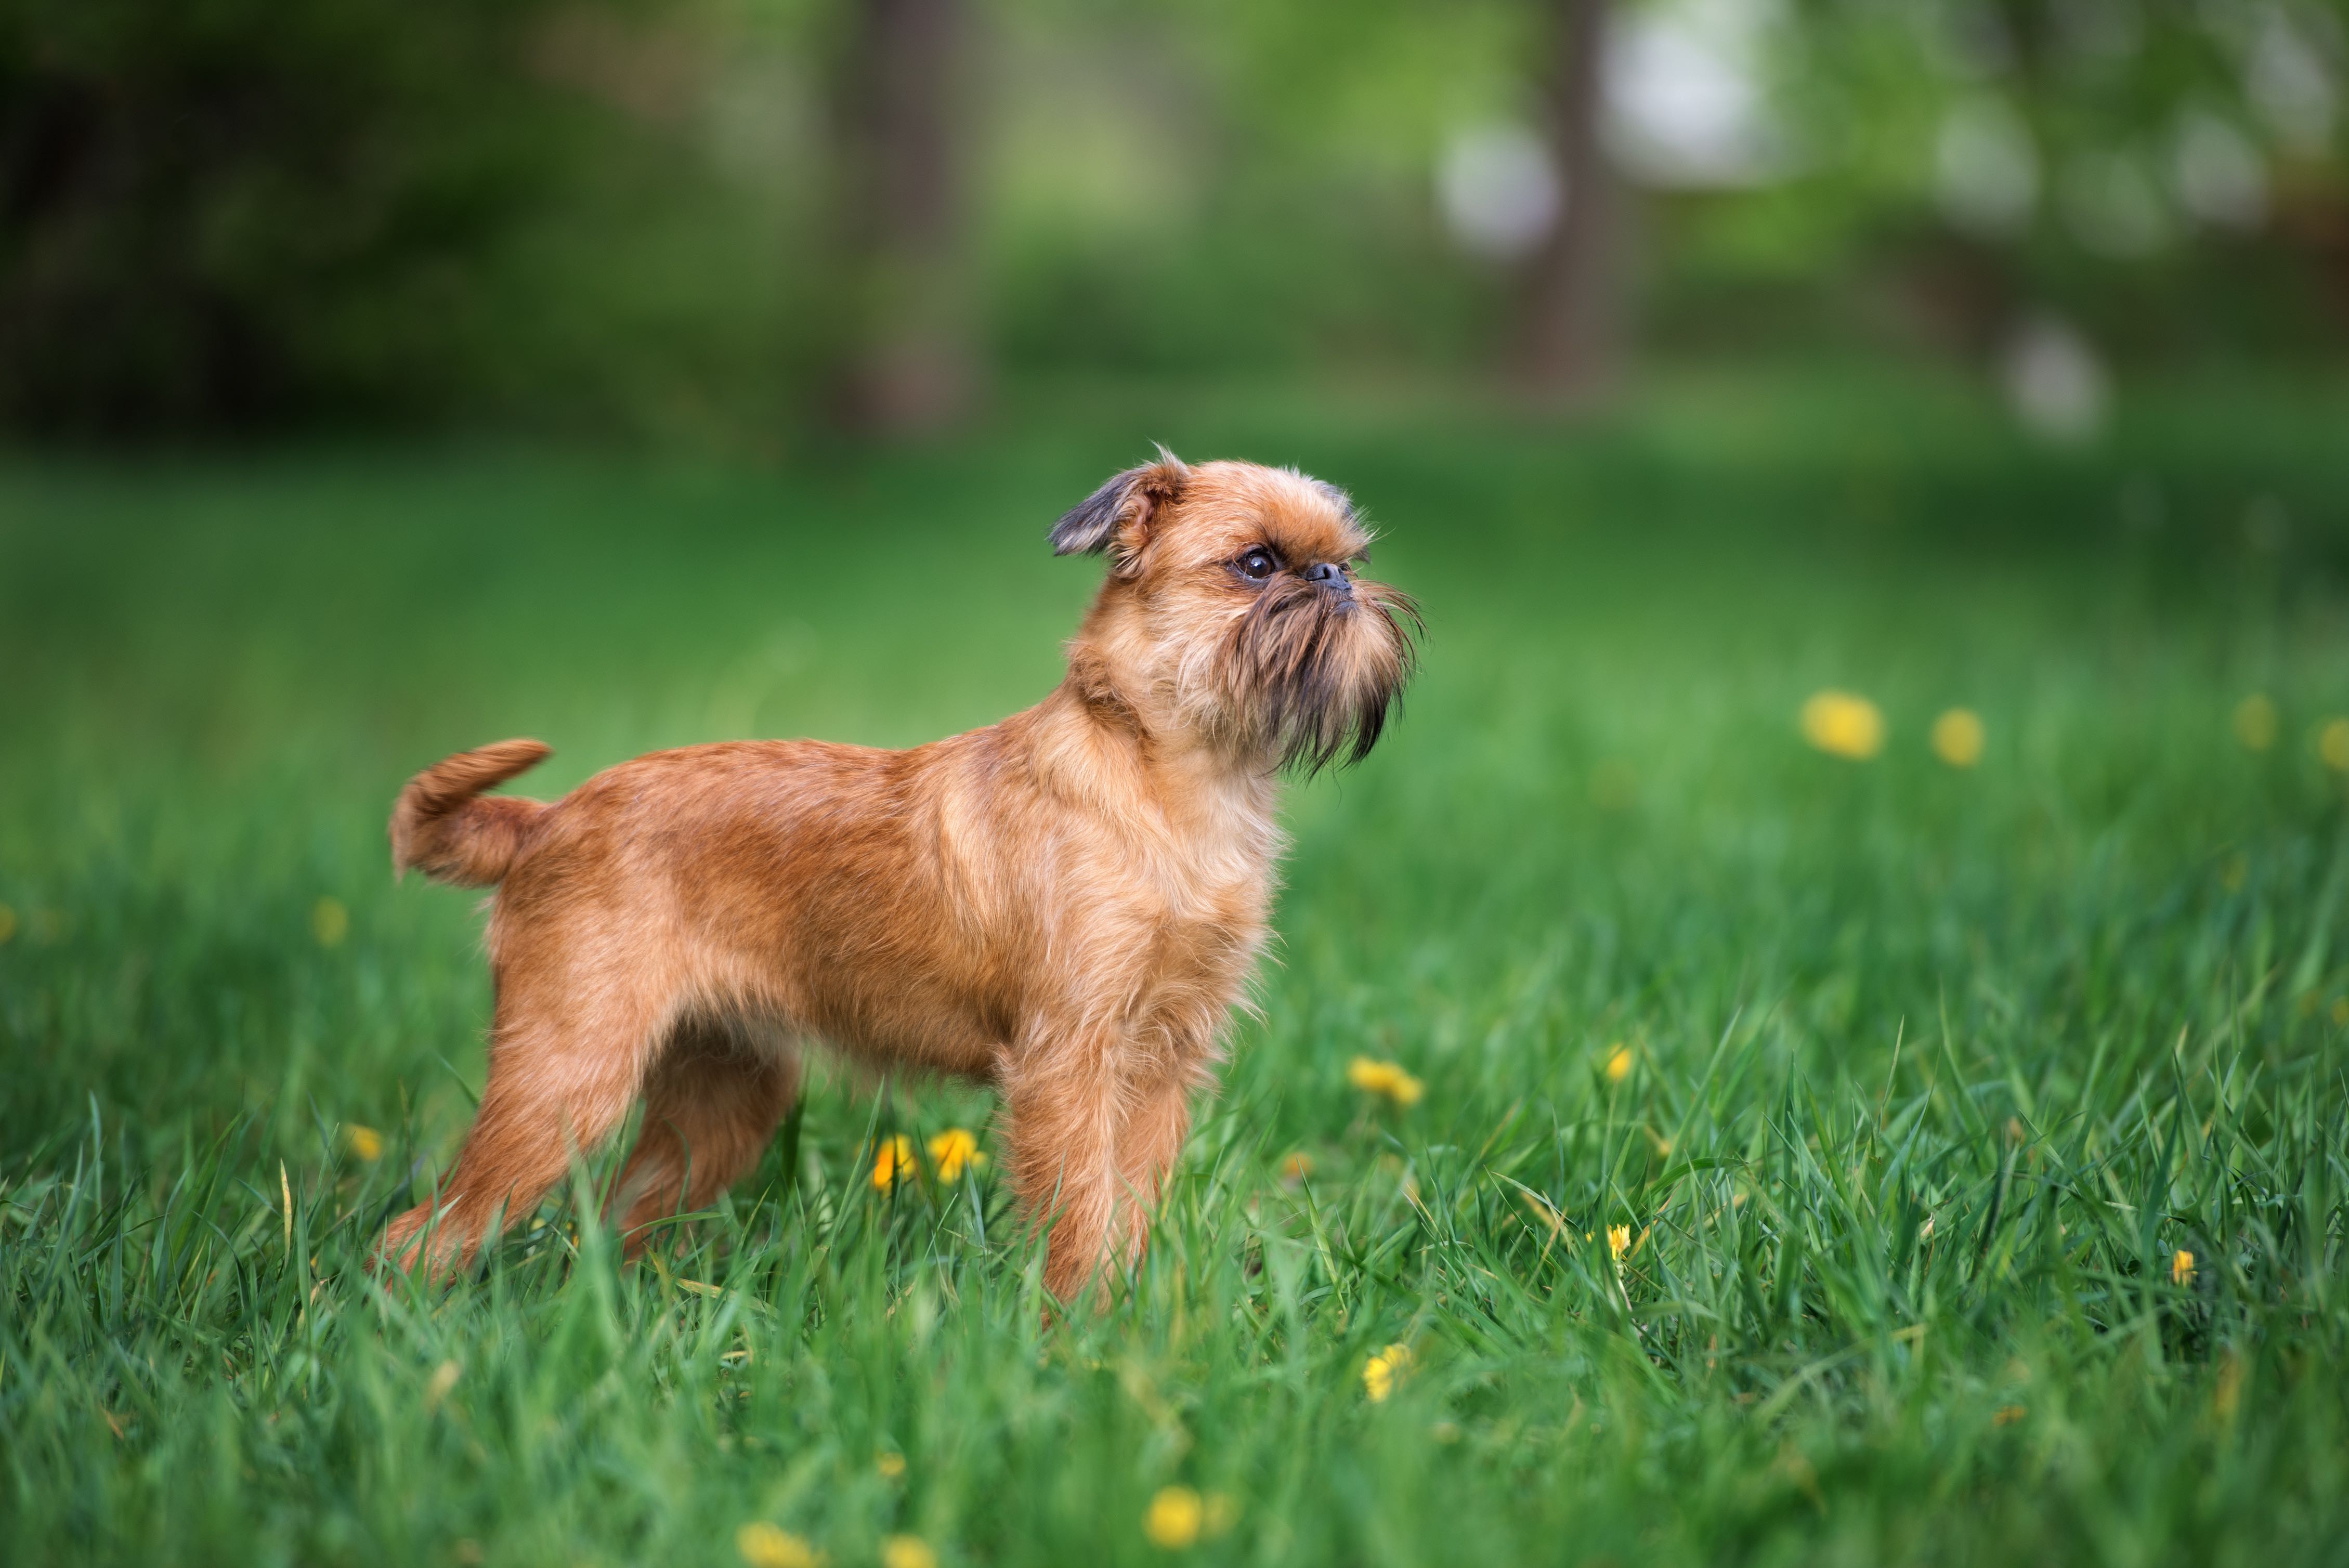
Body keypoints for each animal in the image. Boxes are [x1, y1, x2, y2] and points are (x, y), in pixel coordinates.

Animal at [380, 453, 1409, 1296]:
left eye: (1347, 557)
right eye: (1256, 564)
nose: (1332, 578)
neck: (1169, 777)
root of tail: (548, 820)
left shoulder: (1163, 1063)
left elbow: (1128, 1209)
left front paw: (1128, 1330)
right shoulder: (1068, 1062)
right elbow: (1081, 1211)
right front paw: (1076, 1341)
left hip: (723, 1096)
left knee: (618, 1219)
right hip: (568, 1075)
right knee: (421, 1234)